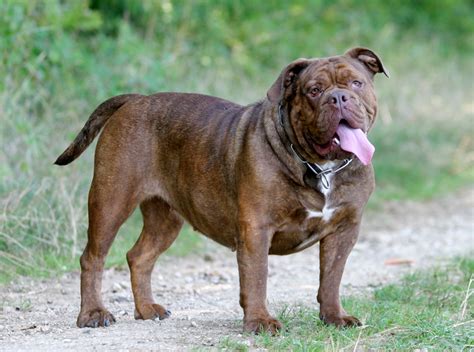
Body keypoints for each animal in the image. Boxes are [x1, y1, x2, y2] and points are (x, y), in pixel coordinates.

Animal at [56, 48, 388, 334]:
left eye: (356, 83)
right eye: (314, 90)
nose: (339, 97)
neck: (321, 167)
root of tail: (135, 100)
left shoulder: (344, 230)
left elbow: (331, 278)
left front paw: (334, 317)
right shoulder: (256, 229)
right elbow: (257, 277)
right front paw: (259, 321)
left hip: (166, 219)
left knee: (140, 256)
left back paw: (147, 309)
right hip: (111, 201)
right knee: (93, 258)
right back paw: (92, 314)